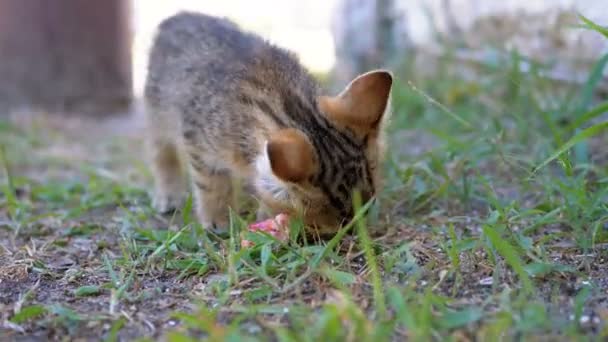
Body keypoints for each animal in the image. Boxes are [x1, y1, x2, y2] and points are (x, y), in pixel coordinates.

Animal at [144, 11, 392, 235]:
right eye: (323, 230)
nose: (351, 235)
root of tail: (179, 16)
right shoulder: (198, 140)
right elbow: (211, 182)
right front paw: (219, 219)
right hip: (157, 114)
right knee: (161, 153)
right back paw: (169, 194)